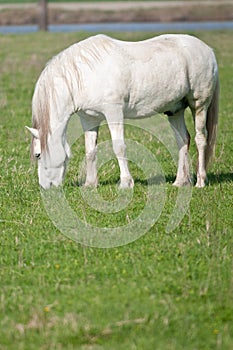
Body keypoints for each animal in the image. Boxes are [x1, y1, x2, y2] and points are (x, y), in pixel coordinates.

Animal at [26, 34, 219, 190]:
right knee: (183, 140)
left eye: (38, 154)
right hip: (175, 111)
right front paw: (90, 184)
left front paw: (126, 182)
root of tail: (208, 50)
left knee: (201, 139)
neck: (85, 75)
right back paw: (180, 181)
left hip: (199, 105)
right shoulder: (89, 119)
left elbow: (119, 147)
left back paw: (200, 181)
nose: (45, 187)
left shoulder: (114, 113)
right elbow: (90, 151)